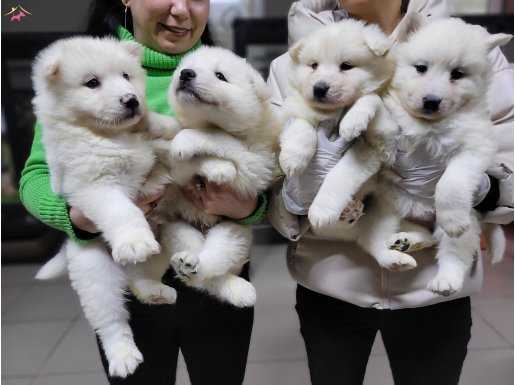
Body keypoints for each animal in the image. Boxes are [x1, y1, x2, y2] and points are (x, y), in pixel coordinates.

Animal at [382, 16, 512, 294]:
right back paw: (405, 239)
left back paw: (446, 279)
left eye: (457, 74)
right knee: (423, 233)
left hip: (467, 222)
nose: (431, 101)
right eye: (421, 68)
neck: (429, 124)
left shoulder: (474, 147)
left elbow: (451, 182)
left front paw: (452, 216)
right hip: (391, 207)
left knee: (453, 251)